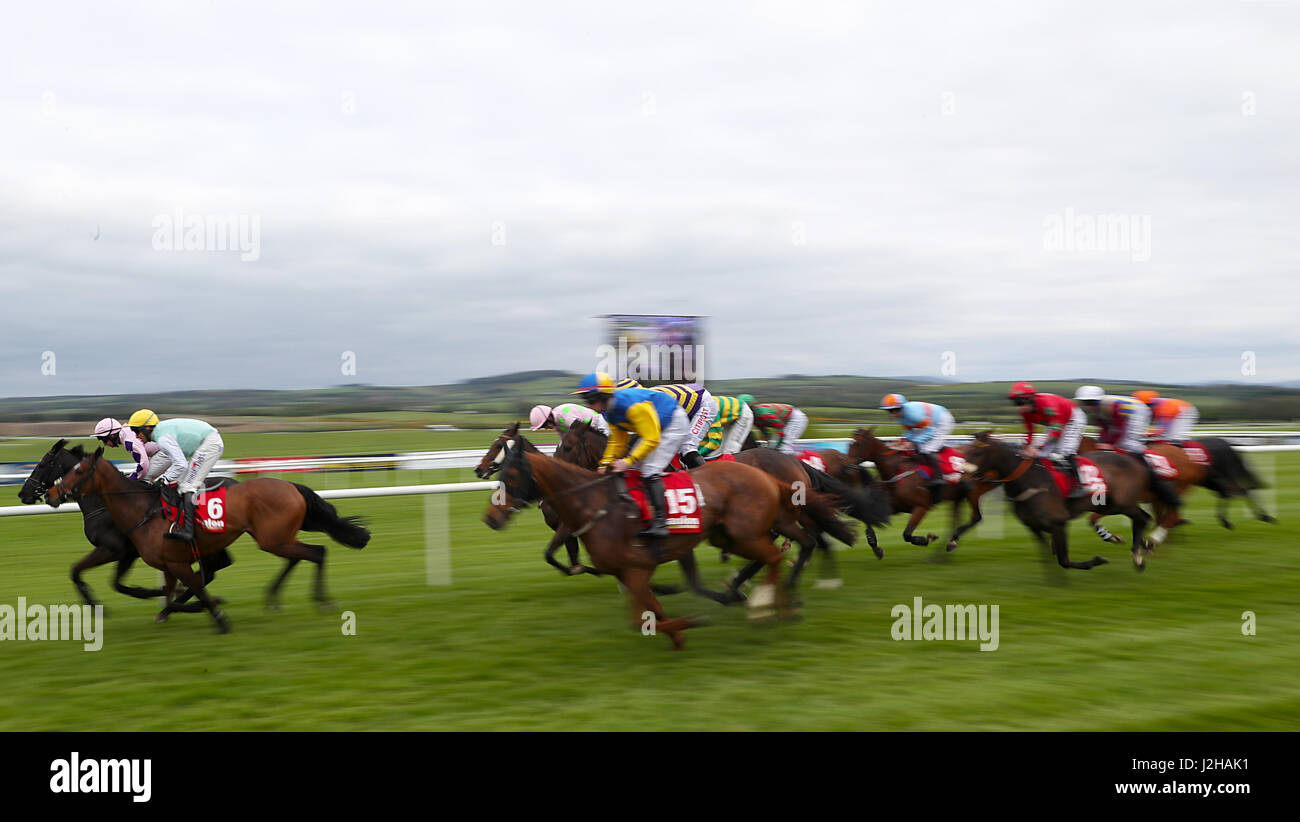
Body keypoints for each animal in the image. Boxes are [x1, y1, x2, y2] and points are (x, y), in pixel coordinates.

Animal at [16, 442, 235, 611]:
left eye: (42, 464)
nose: (23, 493)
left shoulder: (115, 549)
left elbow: (80, 572)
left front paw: (99, 606)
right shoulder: (126, 553)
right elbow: (114, 583)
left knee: (210, 569)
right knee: (215, 567)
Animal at [47, 447, 371, 632]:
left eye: (77, 470)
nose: (50, 494)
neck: (141, 509)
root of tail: (291, 485)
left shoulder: (173, 562)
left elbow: (195, 591)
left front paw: (218, 616)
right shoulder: (167, 565)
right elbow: (174, 595)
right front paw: (178, 608)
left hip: (272, 538)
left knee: (317, 551)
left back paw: (319, 600)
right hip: (273, 537)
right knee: (305, 554)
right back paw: (279, 598)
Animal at [483, 434, 826, 652]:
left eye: (510, 476)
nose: (490, 518)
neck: (595, 500)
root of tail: (781, 463)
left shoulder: (640, 565)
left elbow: (649, 611)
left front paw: (694, 616)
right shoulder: (633, 567)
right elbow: (650, 611)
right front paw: (680, 630)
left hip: (752, 530)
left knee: (786, 550)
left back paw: (766, 603)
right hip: (735, 532)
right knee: (785, 550)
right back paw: (774, 598)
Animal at [961, 429, 1154, 572]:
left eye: (978, 452)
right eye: (966, 450)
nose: (964, 480)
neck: (1029, 479)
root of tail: (1136, 462)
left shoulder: (1058, 522)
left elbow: (1064, 559)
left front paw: (1097, 560)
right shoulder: (1036, 526)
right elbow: (1050, 555)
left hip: (1121, 504)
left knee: (1143, 518)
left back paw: (1138, 556)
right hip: (1108, 505)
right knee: (1142, 518)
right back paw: (1142, 546)